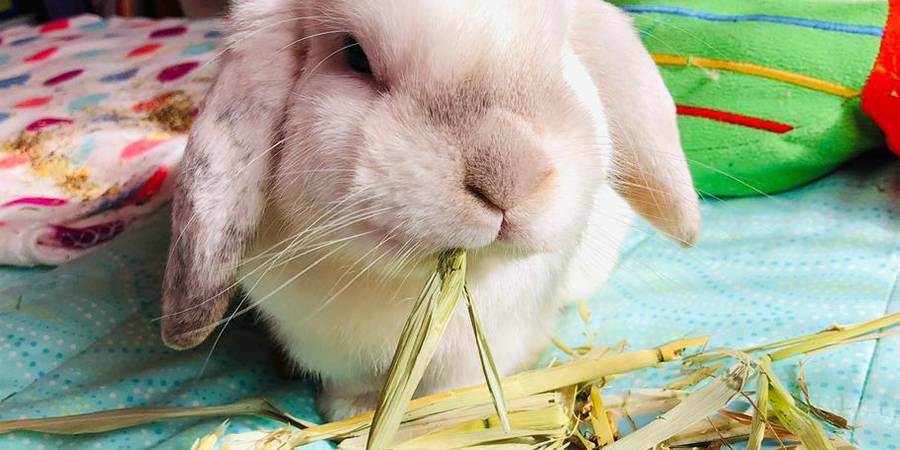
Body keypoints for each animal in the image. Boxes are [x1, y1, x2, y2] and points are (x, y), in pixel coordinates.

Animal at [158, 0, 700, 422]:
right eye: (354, 55)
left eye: (561, 52)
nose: (510, 177)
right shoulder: (328, 348)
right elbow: (353, 387)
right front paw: (351, 415)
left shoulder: (484, 346)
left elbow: (457, 388)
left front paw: (458, 415)